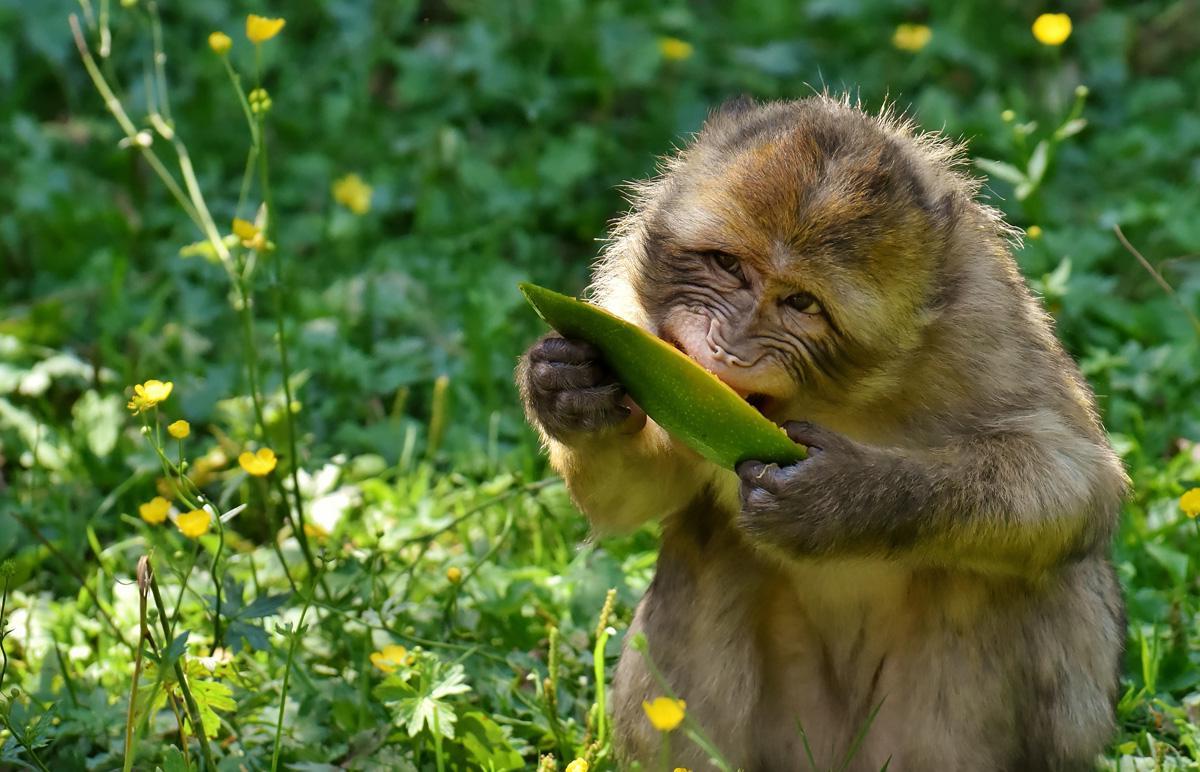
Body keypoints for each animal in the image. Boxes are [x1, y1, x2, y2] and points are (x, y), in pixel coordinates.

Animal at [517, 95, 1127, 772]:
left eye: (801, 304)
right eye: (728, 265)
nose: (728, 350)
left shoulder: (983, 323)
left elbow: (1076, 479)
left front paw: (844, 500)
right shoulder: (630, 311)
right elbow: (639, 497)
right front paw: (566, 392)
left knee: (1016, 574)